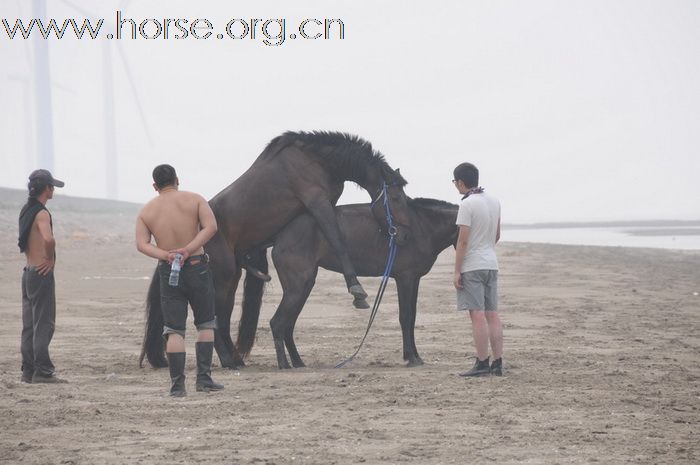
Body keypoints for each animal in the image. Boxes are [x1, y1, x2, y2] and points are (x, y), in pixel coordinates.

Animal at [141, 131, 410, 370]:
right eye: (396, 197)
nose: (403, 233)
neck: (317, 160)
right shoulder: (318, 202)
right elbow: (337, 240)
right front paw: (357, 290)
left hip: (230, 278)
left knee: (223, 319)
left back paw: (236, 360)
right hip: (223, 276)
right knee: (214, 318)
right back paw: (228, 361)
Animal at [238, 198, 460, 368]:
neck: (422, 226)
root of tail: (280, 236)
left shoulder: (414, 280)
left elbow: (412, 317)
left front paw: (415, 355)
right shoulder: (405, 278)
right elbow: (405, 318)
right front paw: (411, 358)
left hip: (303, 287)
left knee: (288, 324)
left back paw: (298, 362)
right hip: (297, 287)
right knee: (278, 323)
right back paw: (284, 364)